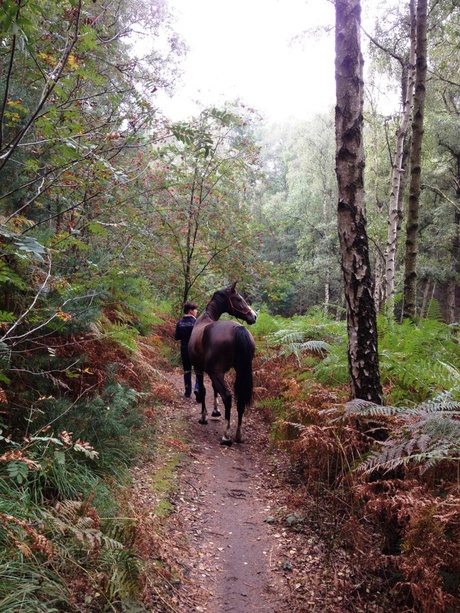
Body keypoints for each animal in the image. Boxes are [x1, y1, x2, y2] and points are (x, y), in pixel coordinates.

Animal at [189, 282, 256, 444]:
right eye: (238, 298)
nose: (254, 316)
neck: (205, 319)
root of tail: (239, 328)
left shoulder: (200, 369)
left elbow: (204, 390)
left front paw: (204, 416)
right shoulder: (219, 372)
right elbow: (214, 389)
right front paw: (215, 411)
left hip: (215, 373)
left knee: (227, 397)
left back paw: (226, 435)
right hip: (239, 372)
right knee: (239, 400)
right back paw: (238, 435)